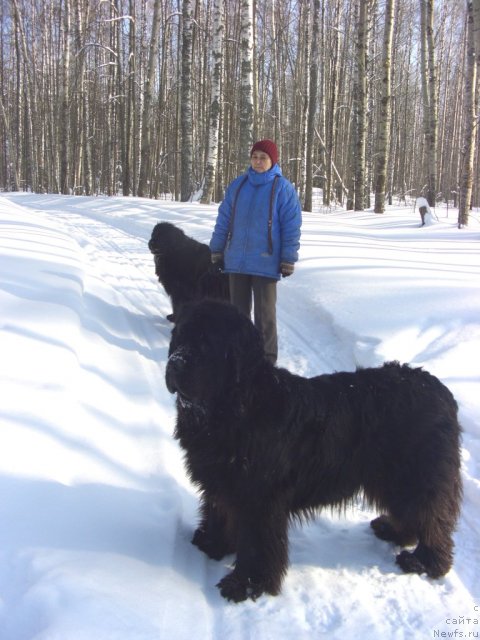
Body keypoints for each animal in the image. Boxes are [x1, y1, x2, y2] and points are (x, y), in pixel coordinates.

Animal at [165, 300, 462, 600]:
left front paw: (246, 584)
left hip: (416, 475)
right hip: (392, 477)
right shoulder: (222, 483)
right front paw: (212, 543)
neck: (236, 407)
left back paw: (425, 562)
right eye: (179, 337)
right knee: (412, 513)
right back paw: (394, 532)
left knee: (432, 517)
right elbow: (219, 511)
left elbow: (257, 544)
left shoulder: (259, 499)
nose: (174, 364)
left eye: (207, 344)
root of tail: (442, 391)